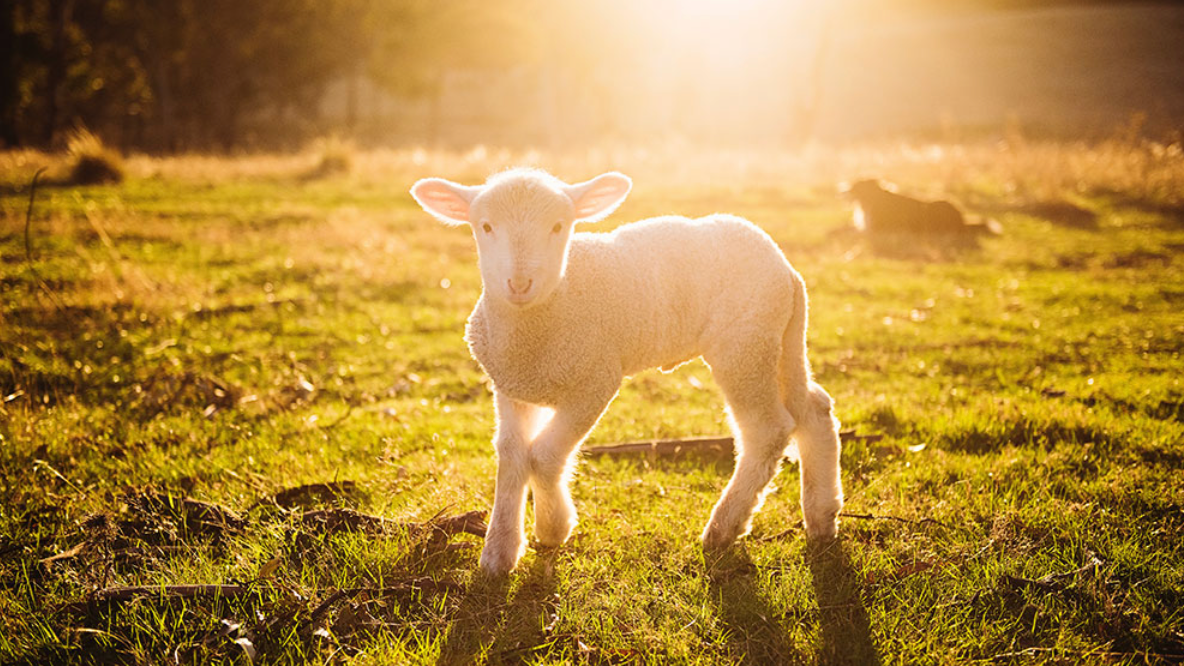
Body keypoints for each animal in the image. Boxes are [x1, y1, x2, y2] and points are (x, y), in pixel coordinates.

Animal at [410, 168, 843, 575]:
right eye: (485, 226)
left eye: (558, 226)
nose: (519, 283)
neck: (546, 314)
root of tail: (786, 268)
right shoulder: (511, 387)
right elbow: (512, 454)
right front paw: (499, 552)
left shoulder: (596, 381)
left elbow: (544, 456)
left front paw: (553, 527)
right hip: (782, 339)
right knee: (814, 409)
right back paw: (822, 516)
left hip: (744, 345)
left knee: (767, 431)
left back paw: (724, 527)